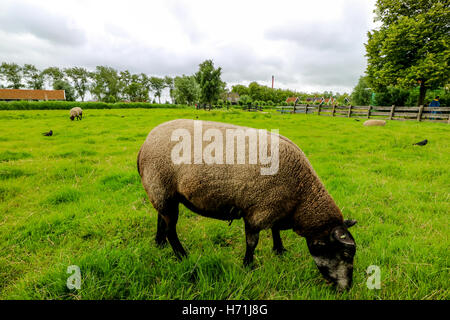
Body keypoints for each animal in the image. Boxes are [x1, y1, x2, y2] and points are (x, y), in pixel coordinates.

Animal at [137, 119, 358, 290]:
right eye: (346, 254)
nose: (347, 288)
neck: (301, 197)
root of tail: (145, 144)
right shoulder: (258, 212)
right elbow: (252, 242)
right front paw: (248, 266)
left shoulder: (274, 207)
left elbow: (275, 230)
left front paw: (279, 250)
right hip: (161, 187)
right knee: (171, 230)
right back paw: (183, 256)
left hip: (163, 193)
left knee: (161, 219)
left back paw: (159, 243)